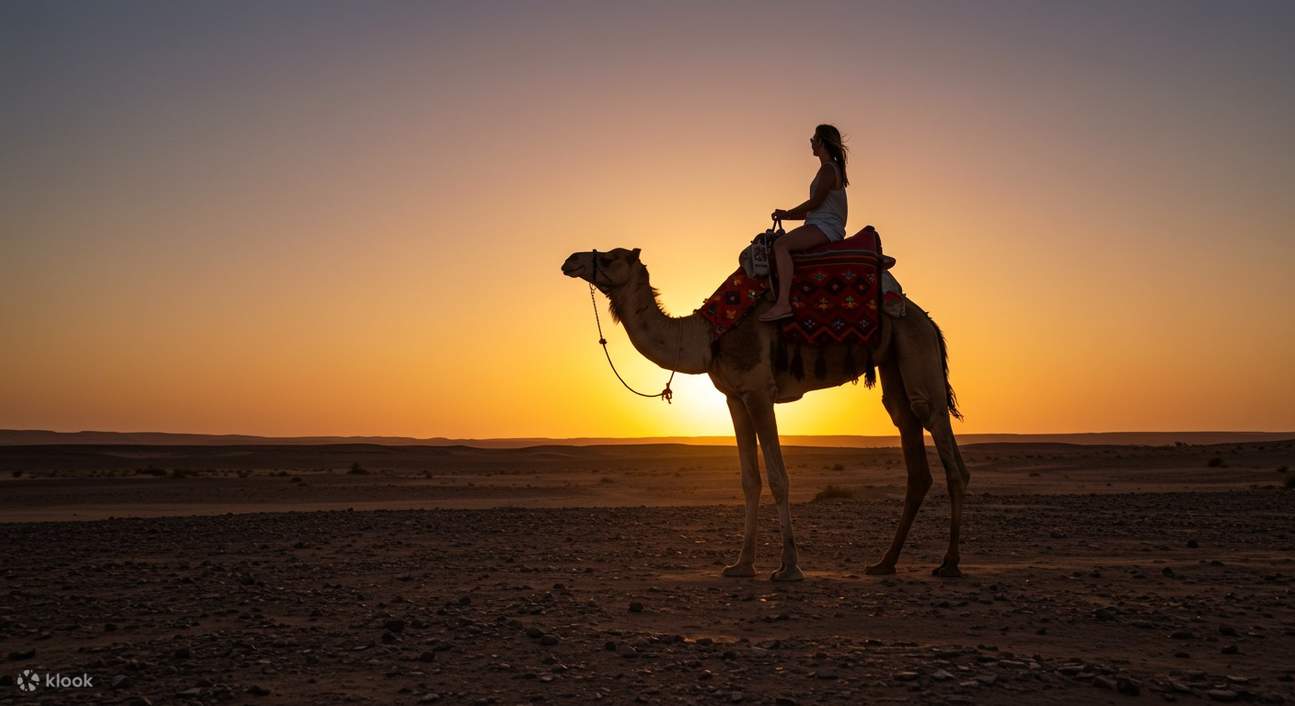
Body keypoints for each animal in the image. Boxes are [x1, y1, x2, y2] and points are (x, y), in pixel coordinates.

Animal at [561, 246, 970, 580]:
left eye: (611, 257)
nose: (571, 261)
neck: (709, 335)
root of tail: (929, 321)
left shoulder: (759, 392)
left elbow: (778, 477)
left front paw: (789, 567)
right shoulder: (734, 398)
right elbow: (749, 479)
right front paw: (741, 565)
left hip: (917, 349)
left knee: (939, 432)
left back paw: (949, 563)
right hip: (892, 362)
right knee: (908, 430)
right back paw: (885, 562)